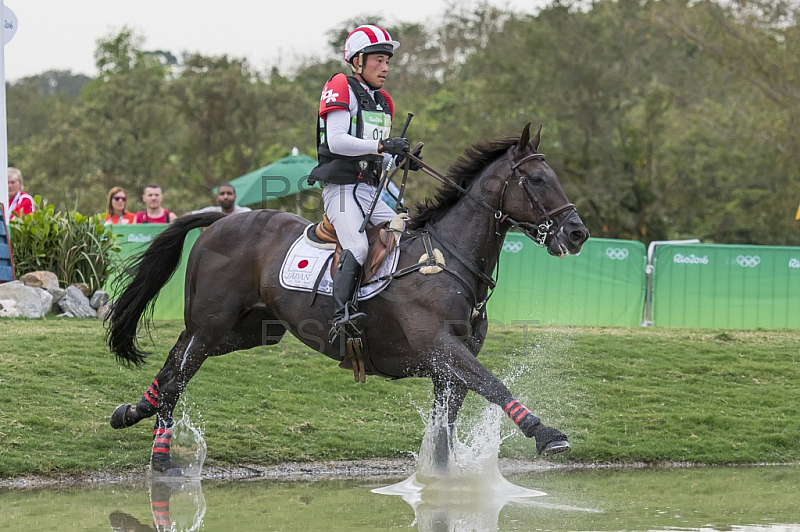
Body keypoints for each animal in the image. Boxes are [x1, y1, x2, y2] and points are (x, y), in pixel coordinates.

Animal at [106, 122, 588, 472]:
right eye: (537, 180)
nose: (577, 233)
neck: (446, 258)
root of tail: (220, 220)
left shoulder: (447, 368)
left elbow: (445, 432)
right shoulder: (442, 347)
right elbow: (493, 383)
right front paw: (546, 434)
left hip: (247, 331)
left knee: (174, 362)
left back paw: (134, 410)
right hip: (212, 325)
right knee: (178, 376)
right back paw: (161, 456)